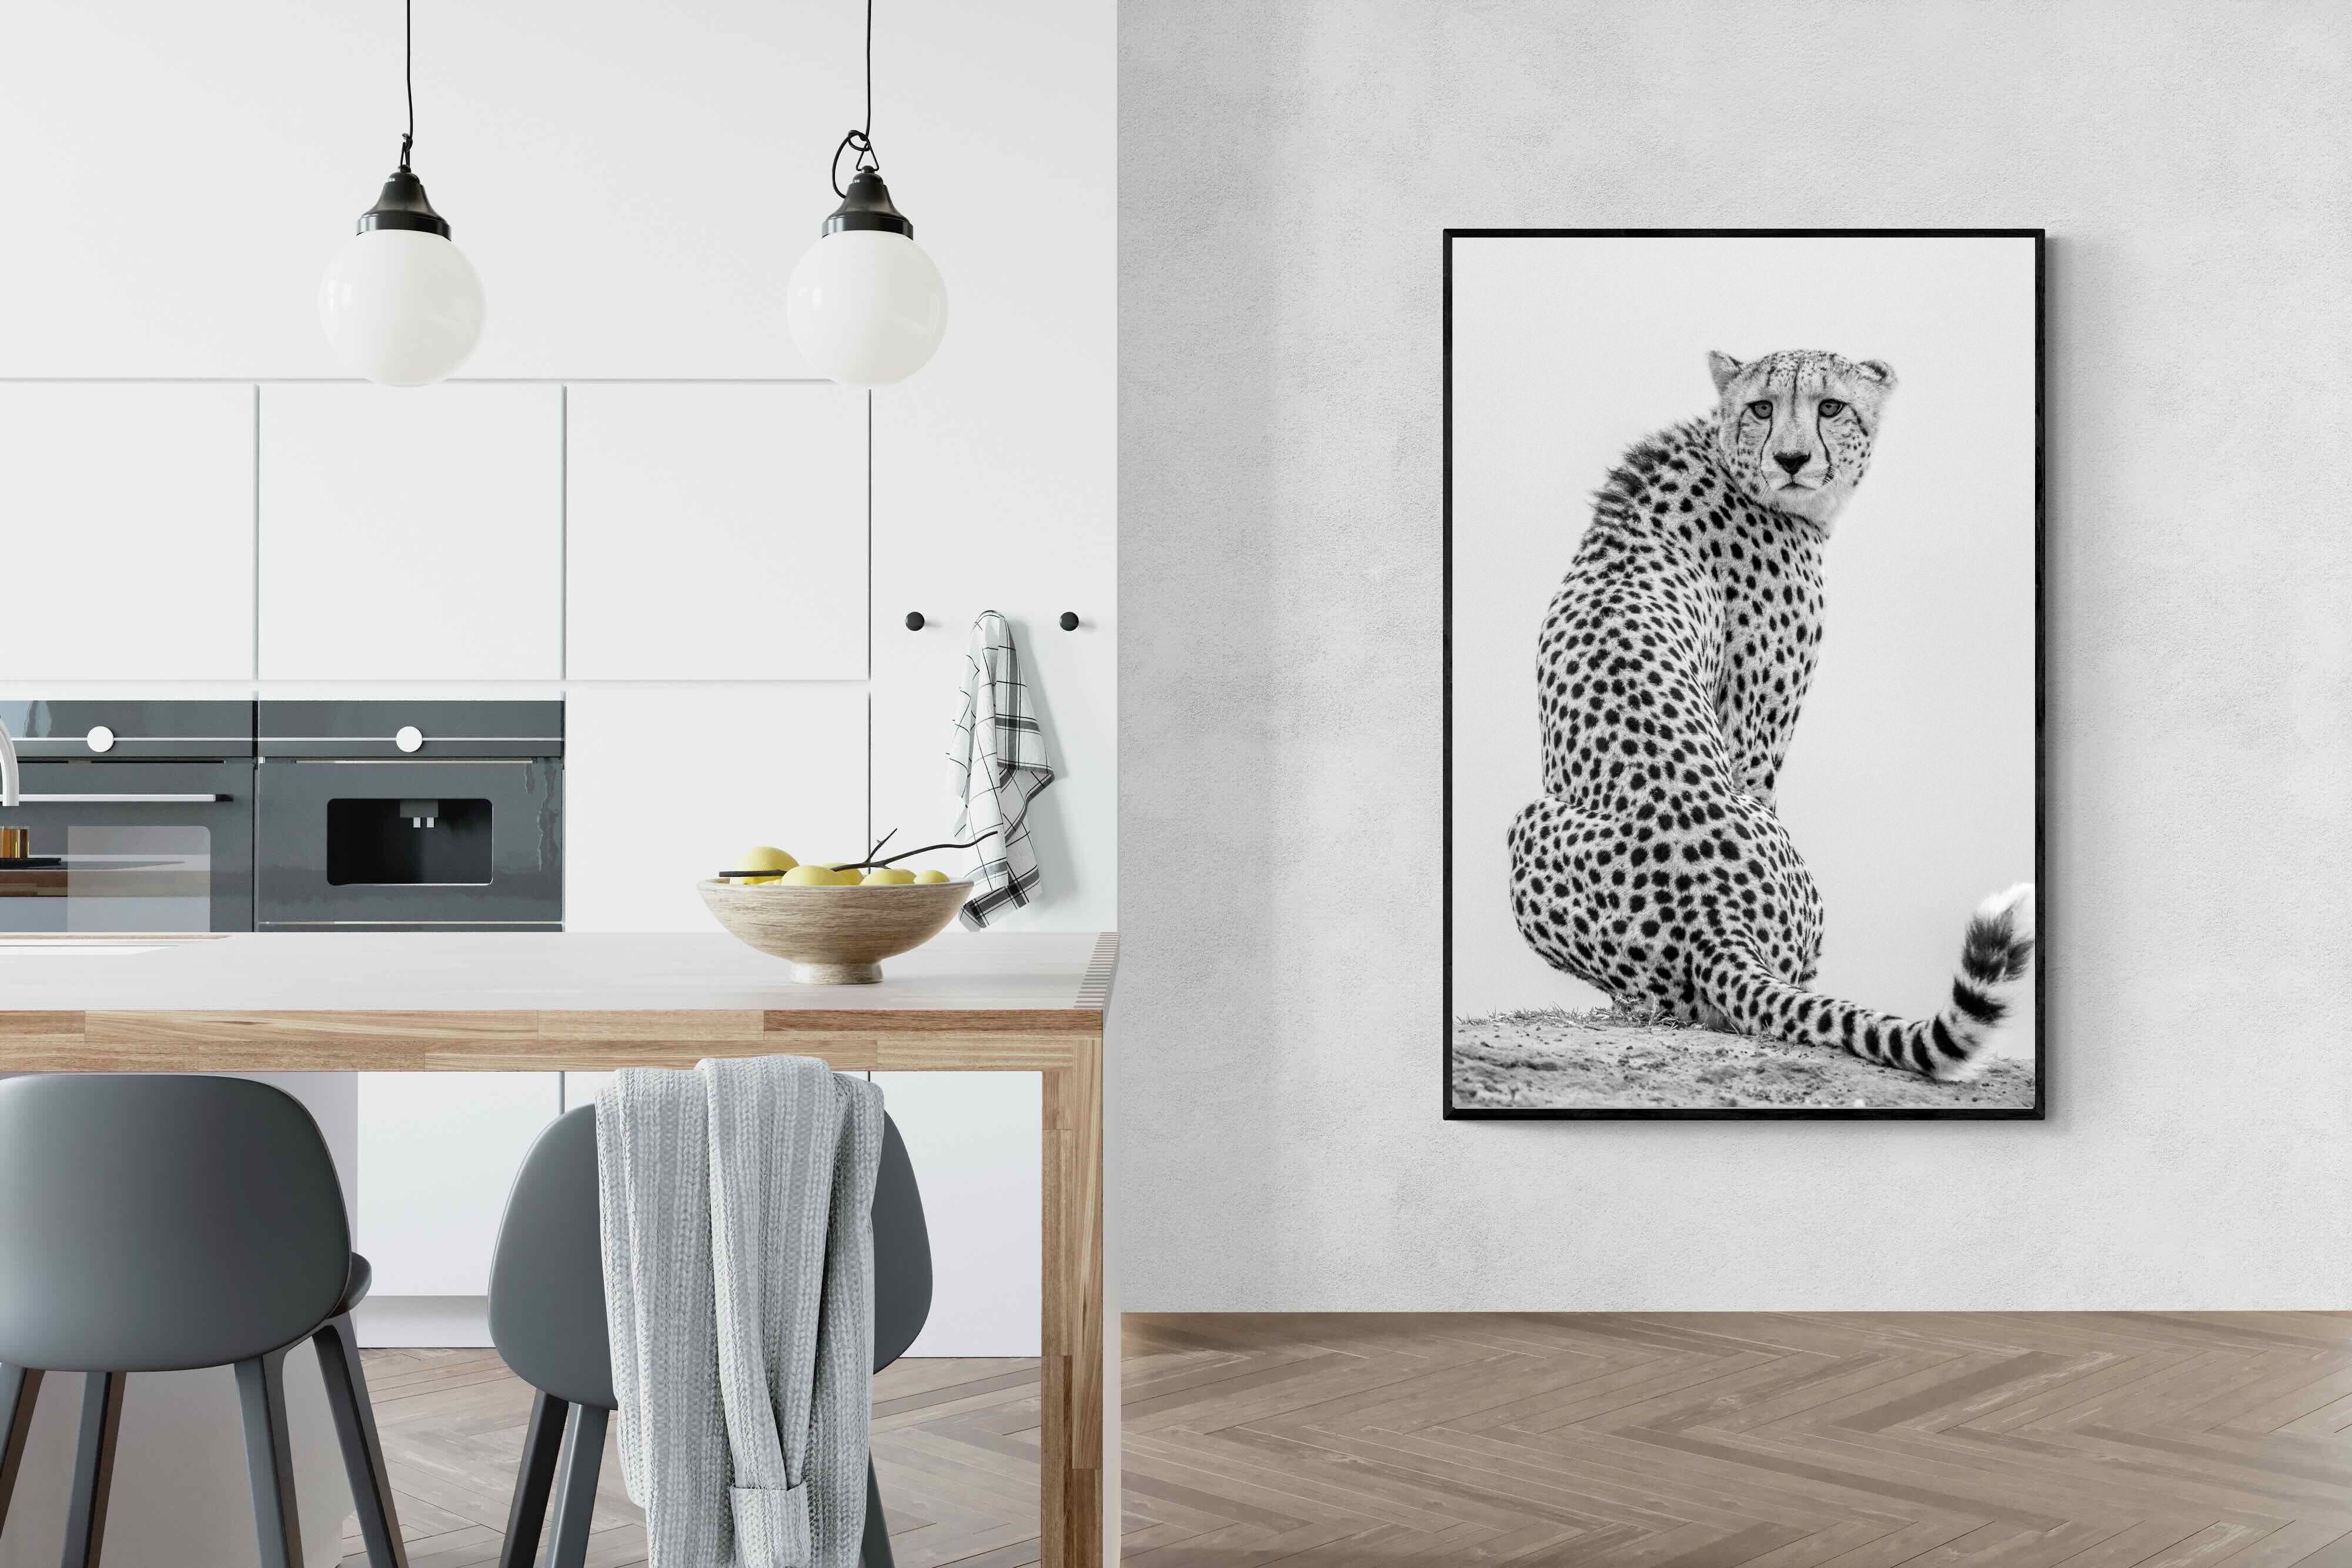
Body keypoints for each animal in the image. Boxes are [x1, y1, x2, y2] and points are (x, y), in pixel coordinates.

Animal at [1505, 348, 2034, 1081]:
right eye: (1762, 407)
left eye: (1830, 406)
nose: (1790, 458)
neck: (1727, 458)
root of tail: (1714, 917)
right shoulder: (1755, 736)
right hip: (1535, 825)